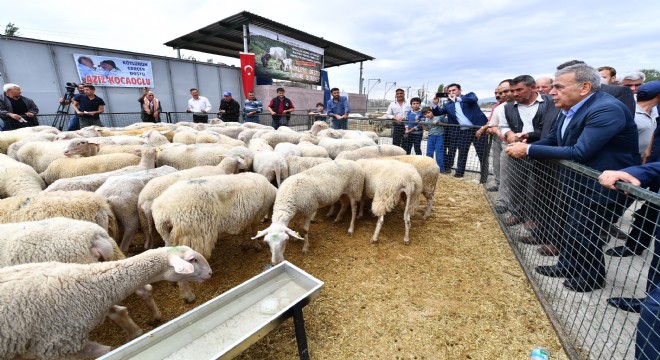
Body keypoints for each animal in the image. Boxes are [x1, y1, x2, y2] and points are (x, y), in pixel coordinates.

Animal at [152, 173, 276, 302]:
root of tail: (163, 214)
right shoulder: (257, 214)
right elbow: (253, 230)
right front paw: (256, 245)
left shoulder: (248, 216)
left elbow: (245, 230)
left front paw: (245, 244)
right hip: (193, 237)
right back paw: (188, 295)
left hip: (170, 239)